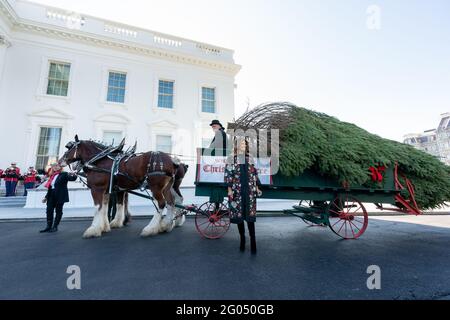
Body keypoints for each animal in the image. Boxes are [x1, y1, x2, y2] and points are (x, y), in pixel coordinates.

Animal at [59, 134, 188, 238]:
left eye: (70, 147)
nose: (60, 161)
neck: (99, 161)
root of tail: (173, 161)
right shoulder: (107, 190)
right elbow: (105, 207)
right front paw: (104, 226)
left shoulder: (97, 189)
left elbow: (97, 208)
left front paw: (93, 229)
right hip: (167, 187)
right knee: (172, 202)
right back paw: (167, 225)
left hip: (155, 186)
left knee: (161, 203)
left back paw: (150, 229)